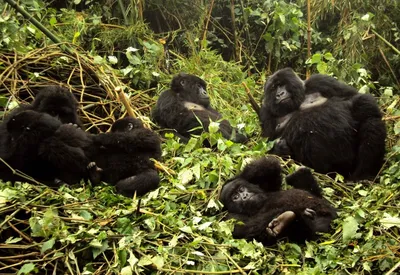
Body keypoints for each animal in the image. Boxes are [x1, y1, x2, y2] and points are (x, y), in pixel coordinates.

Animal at [260, 68, 388, 182]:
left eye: (282, 84)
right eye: (273, 88)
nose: (279, 94)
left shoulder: (320, 81)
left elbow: (356, 97)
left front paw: (360, 104)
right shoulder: (265, 111)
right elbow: (269, 151)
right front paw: (281, 149)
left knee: (371, 122)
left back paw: (364, 175)